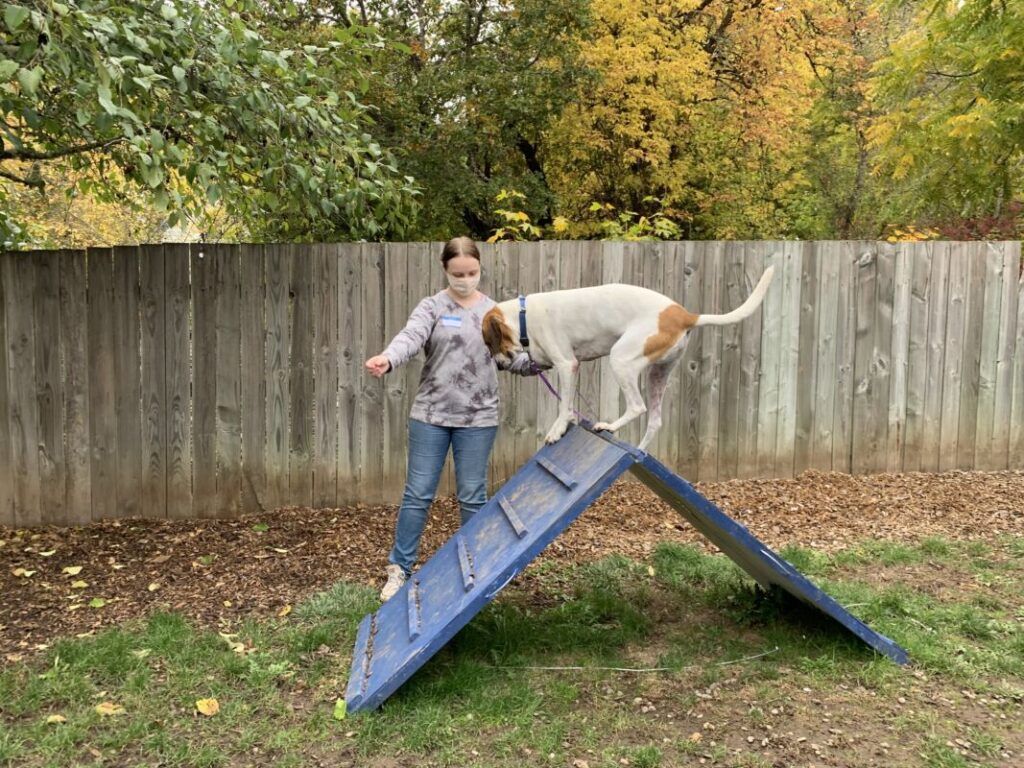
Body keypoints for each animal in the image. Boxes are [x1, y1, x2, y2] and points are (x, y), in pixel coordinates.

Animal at [483, 270, 770, 450]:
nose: (498, 366)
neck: (523, 315)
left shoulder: (567, 365)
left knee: (637, 407)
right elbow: (567, 401)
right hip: (658, 373)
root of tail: (685, 315)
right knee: (655, 420)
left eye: (488, 342)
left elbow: (563, 405)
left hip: (621, 359)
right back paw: (639, 454)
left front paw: (557, 430)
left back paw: (608, 426)